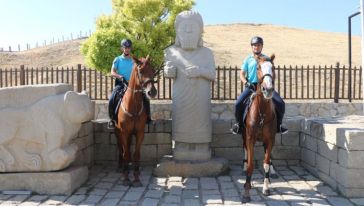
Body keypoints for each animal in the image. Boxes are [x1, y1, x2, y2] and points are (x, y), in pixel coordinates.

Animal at [116, 54, 157, 187]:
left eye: (153, 70)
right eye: (141, 71)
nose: (152, 92)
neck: (133, 105)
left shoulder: (139, 133)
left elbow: (136, 154)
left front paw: (136, 177)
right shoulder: (124, 132)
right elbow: (126, 153)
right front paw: (126, 178)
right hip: (117, 132)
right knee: (121, 148)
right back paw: (121, 167)